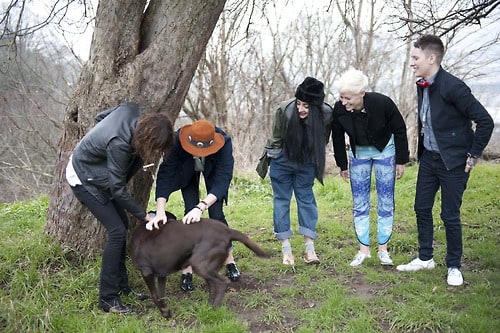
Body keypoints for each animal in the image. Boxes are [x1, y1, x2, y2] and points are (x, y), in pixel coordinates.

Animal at [130, 211, 270, 318]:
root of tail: (228, 230)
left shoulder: (146, 272)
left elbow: (154, 296)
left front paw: (164, 312)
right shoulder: (161, 275)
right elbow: (161, 295)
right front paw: (165, 310)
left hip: (199, 263)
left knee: (223, 282)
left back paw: (215, 307)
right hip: (206, 266)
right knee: (213, 285)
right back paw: (209, 305)